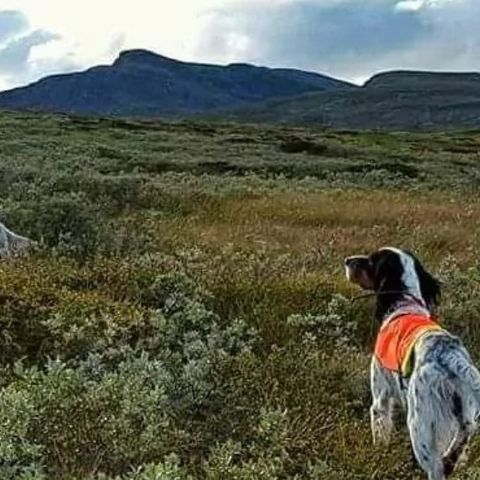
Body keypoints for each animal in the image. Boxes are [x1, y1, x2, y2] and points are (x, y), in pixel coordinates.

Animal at [344, 248, 480, 480]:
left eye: (370, 261)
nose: (347, 261)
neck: (405, 305)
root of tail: (451, 359)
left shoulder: (380, 399)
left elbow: (380, 433)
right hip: (463, 416)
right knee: (461, 439)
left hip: (420, 428)